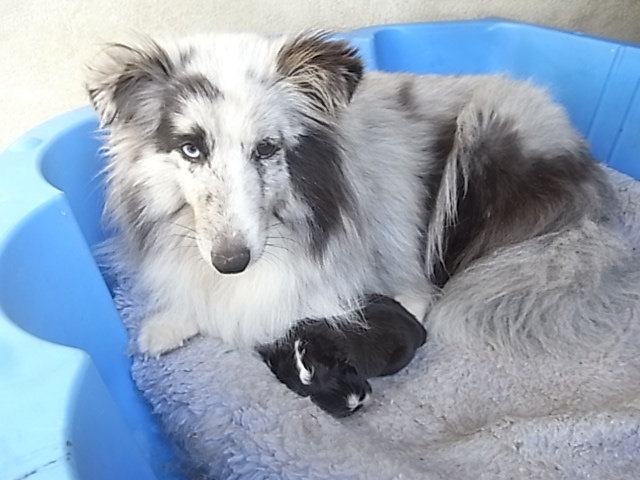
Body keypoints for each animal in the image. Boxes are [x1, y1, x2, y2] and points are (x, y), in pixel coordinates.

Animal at [85, 31, 620, 356]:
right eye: (191, 148)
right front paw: (165, 327)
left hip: (483, 136)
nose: (230, 262)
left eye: (267, 149)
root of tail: (592, 188)